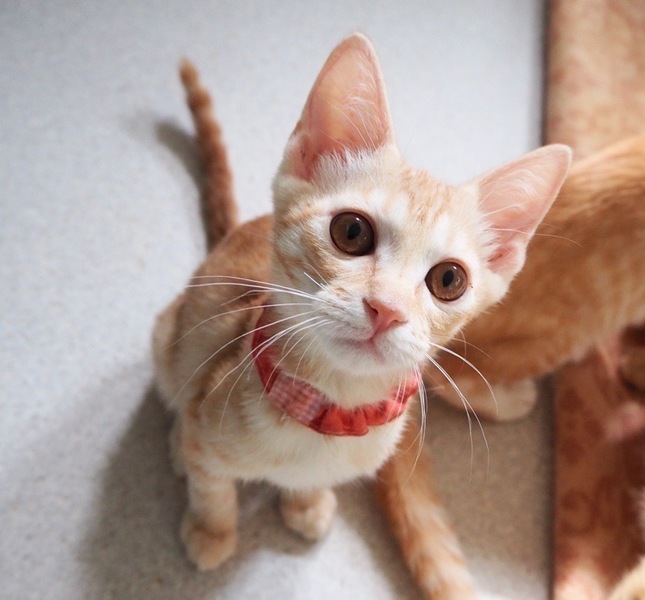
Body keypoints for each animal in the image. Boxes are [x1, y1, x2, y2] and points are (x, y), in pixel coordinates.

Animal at [152, 33, 570, 595]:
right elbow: (211, 485)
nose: (386, 309)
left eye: (449, 280)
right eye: (351, 232)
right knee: (177, 390)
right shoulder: (211, 401)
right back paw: (177, 444)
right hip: (167, 334)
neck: (333, 413)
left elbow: (306, 483)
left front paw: (305, 502)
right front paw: (211, 530)